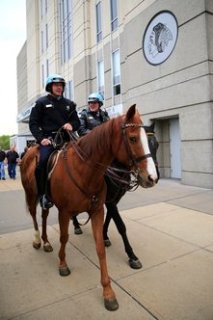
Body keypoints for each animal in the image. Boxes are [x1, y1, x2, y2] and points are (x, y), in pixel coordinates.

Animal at [20, 104, 158, 310]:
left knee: (44, 216)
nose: (152, 177)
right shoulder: (67, 211)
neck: (86, 169)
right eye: (133, 138)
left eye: (155, 144)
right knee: (35, 215)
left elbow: (101, 243)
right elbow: (65, 237)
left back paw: (46, 242)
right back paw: (38, 240)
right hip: (31, 194)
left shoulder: (100, 208)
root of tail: (30, 150)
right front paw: (63, 264)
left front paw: (108, 292)